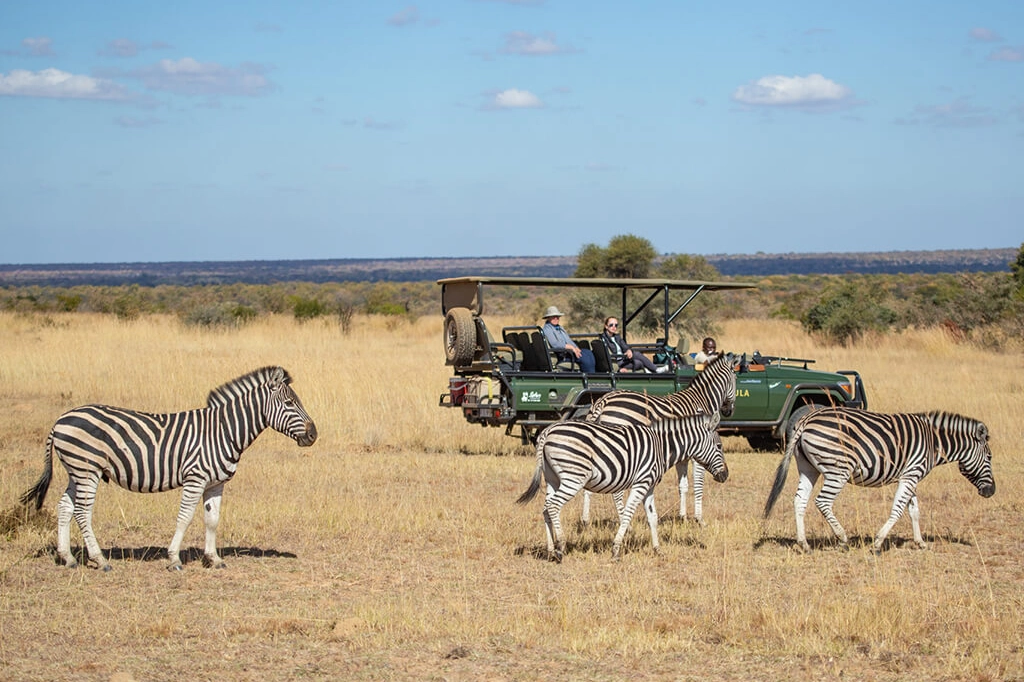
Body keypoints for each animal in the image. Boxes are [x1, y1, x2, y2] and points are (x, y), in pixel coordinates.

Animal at [18, 366, 315, 569]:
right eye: (289, 403)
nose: (314, 435)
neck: (224, 431)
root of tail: (60, 420)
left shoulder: (215, 483)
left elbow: (212, 520)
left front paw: (214, 559)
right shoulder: (195, 478)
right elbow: (184, 517)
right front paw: (174, 559)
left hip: (76, 472)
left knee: (65, 507)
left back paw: (67, 557)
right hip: (86, 469)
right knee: (81, 511)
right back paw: (100, 560)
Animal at [520, 411, 729, 561]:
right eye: (719, 447)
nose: (725, 475)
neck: (661, 446)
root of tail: (547, 431)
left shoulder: (649, 486)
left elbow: (653, 517)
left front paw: (657, 550)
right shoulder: (641, 483)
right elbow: (628, 514)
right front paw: (616, 550)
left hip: (553, 479)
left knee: (546, 508)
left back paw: (550, 550)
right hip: (574, 477)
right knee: (554, 506)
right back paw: (561, 547)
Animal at [577, 348, 737, 522]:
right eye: (736, 379)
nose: (728, 411)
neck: (702, 400)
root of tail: (603, 401)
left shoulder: (684, 455)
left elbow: (683, 486)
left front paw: (683, 516)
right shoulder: (699, 451)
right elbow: (698, 484)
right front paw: (699, 518)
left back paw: (585, 519)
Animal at [765, 403, 995, 552]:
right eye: (989, 458)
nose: (991, 491)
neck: (933, 441)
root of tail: (807, 419)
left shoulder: (911, 476)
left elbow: (914, 511)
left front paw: (920, 542)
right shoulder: (911, 474)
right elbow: (898, 509)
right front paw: (877, 542)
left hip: (808, 468)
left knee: (799, 501)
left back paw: (803, 544)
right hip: (838, 469)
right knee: (822, 502)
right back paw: (842, 539)